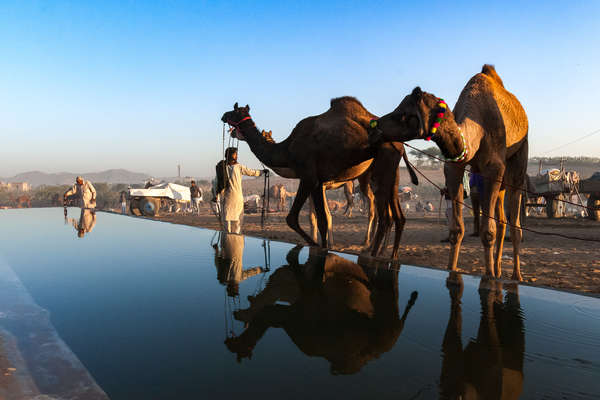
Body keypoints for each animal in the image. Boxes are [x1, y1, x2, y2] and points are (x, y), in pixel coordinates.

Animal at [220, 100, 418, 260]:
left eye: (235, 111)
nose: (223, 115)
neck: (287, 150)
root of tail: (400, 144)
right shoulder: (319, 183)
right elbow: (322, 219)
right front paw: (325, 245)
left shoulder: (310, 178)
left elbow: (302, 218)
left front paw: (320, 246)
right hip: (391, 173)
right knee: (394, 215)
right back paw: (386, 253)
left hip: (374, 174)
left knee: (378, 212)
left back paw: (371, 249)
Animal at [370, 64, 528, 280]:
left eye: (403, 114)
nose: (374, 127)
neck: (476, 130)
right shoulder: (454, 167)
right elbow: (456, 229)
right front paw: (452, 272)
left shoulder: (494, 168)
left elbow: (488, 232)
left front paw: (488, 277)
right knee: (502, 221)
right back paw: (497, 270)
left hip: (519, 157)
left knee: (515, 219)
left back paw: (515, 276)